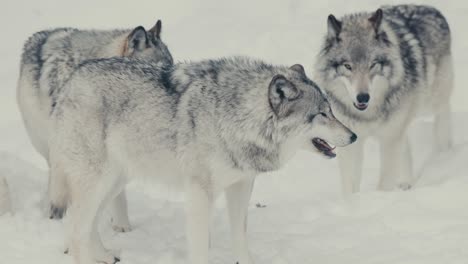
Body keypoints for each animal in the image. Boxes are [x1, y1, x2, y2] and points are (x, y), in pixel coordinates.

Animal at [314, 4, 454, 194]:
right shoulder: (352, 142)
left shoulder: (389, 139)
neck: (368, 115)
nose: (363, 97)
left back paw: (444, 151)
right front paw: (352, 202)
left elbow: (385, 183)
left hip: (429, 104)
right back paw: (405, 183)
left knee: (444, 113)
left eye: (373, 64)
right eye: (348, 66)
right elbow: (350, 186)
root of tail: (430, 8)